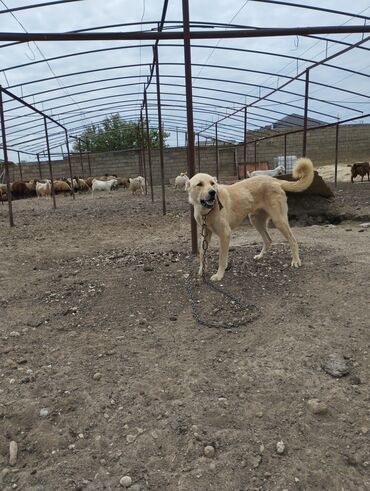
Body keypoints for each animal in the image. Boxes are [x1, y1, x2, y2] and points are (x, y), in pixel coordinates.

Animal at [186, 158, 314, 280]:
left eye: (212, 183)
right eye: (199, 184)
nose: (212, 192)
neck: (207, 211)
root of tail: (274, 180)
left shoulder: (225, 234)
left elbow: (222, 258)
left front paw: (219, 275)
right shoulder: (206, 233)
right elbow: (202, 253)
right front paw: (202, 270)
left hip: (279, 220)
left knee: (292, 240)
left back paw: (296, 261)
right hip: (255, 220)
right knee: (268, 240)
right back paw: (260, 256)